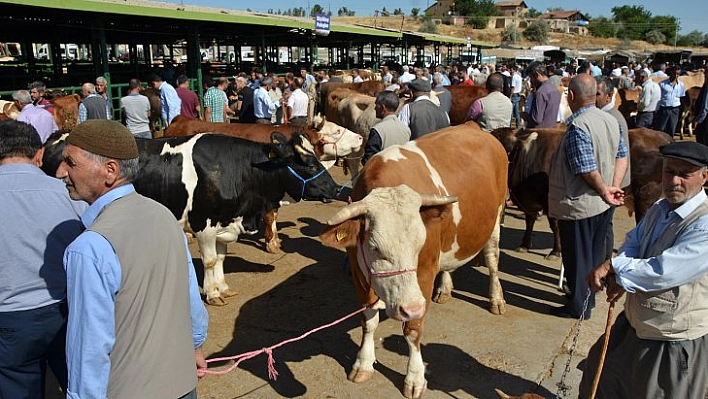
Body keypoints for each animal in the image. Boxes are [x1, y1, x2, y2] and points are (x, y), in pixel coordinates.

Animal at [44, 133, 340, 304]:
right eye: (308, 163)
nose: (337, 188)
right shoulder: (203, 224)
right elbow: (209, 260)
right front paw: (212, 293)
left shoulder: (223, 223)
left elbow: (220, 259)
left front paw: (223, 287)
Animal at [320, 123, 508, 398]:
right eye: (375, 248)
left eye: (420, 243)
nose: (411, 308)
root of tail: (474, 127)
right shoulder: (359, 274)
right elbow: (368, 322)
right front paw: (363, 363)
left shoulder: (424, 274)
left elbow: (413, 330)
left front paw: (415, 378)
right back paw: (445, 288)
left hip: (496, 217)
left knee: (493, 260)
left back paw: (496, 299)